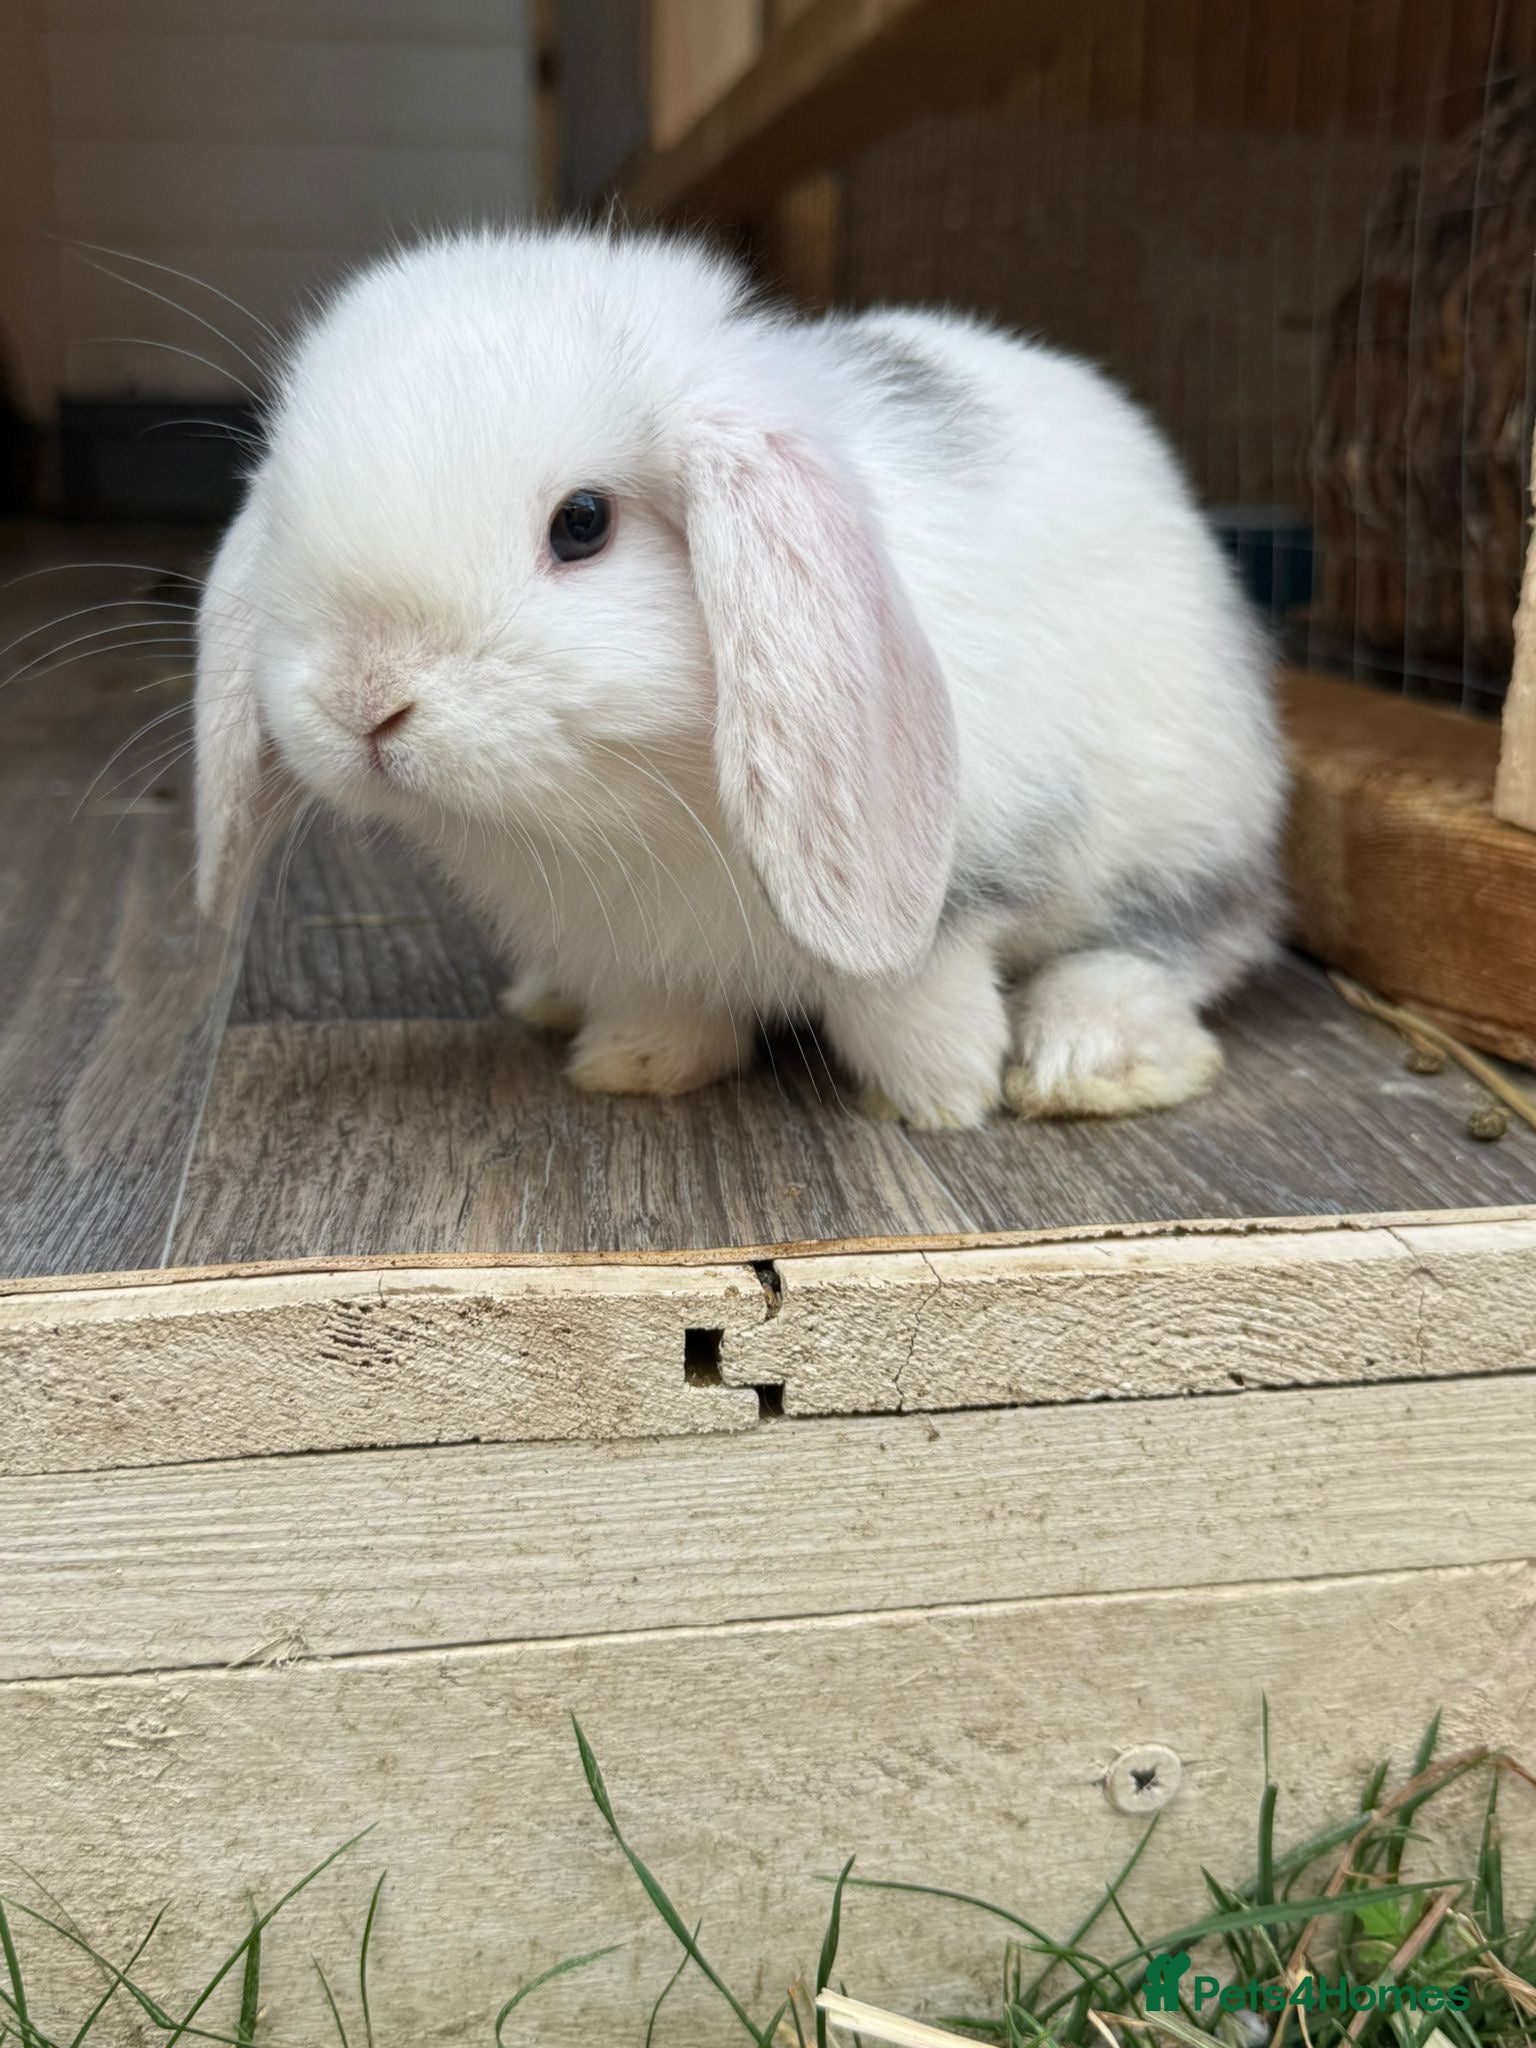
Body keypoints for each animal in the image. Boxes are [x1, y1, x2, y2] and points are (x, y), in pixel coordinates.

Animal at [194, 225, 1285, 1130]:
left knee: (1181, 941)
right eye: (284, 520)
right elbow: (663, 1008)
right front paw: (633, 1066)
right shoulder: (638, 950)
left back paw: (1089, 1061)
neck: (631, 807)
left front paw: (939, 1100)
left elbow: (912, 999)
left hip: (1183, 821)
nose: (363, 702)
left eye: (583, 523)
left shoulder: (949, 899)